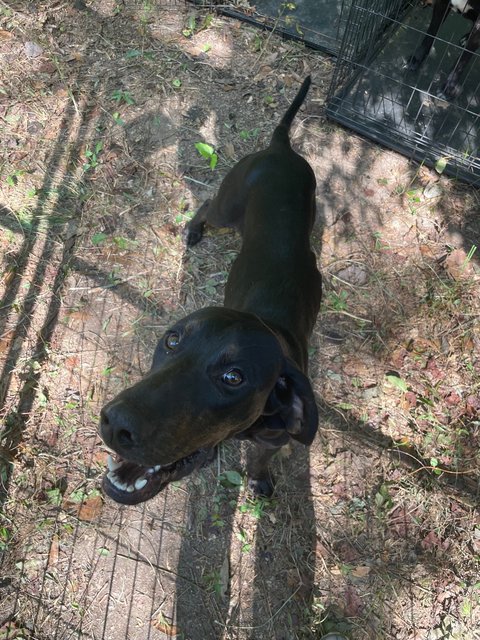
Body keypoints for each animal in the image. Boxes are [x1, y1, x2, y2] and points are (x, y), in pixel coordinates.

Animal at [99, 76, 320, 504]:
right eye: (171, 340)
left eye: (233, 377)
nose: (114, 424)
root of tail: (280, 148)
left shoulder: (273, 440)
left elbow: (261, 460)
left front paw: (259, 480)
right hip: (227, 206)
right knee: (203, 204)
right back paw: (193, 231)